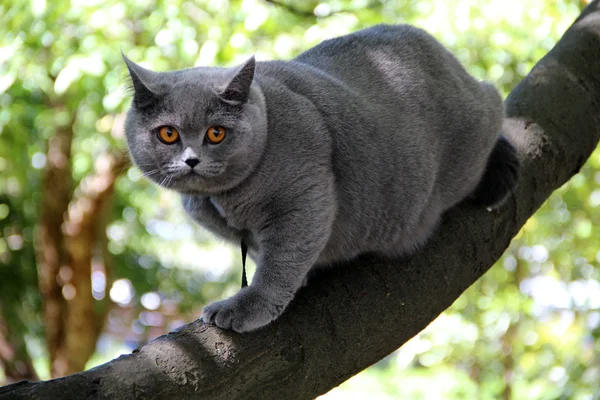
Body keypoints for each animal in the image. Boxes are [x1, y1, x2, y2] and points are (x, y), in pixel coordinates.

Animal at [123, 23, 520, 332]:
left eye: (216, 133)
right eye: (169, 134)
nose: (191, 160)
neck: (222, 202)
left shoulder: (304, 200)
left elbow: (280, 263)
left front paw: (248, 307)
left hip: (470, 140)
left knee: (493, 100)